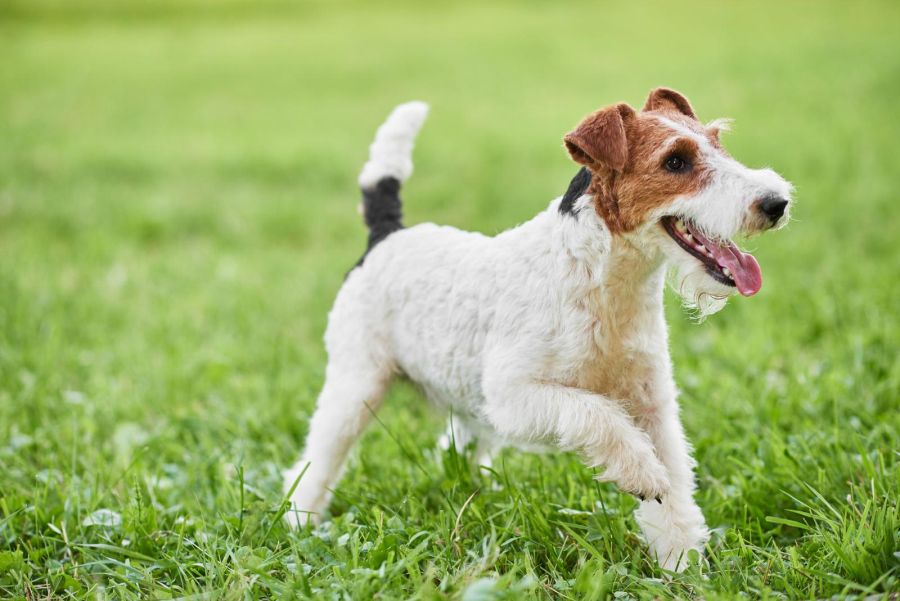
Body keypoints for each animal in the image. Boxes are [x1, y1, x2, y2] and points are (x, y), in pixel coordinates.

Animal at [284, 89, 792, 572]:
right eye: (675, 161)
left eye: (717, 142)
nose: (776, 202)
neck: (602, 280)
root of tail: (386, 235)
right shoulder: (516, 396)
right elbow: (598, 415)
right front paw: (641, 475)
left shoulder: (653, 405)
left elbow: (675, 494)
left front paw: (682, 565)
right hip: (357, 385)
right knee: (315, 463)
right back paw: (299, 521)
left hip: (463, 397)